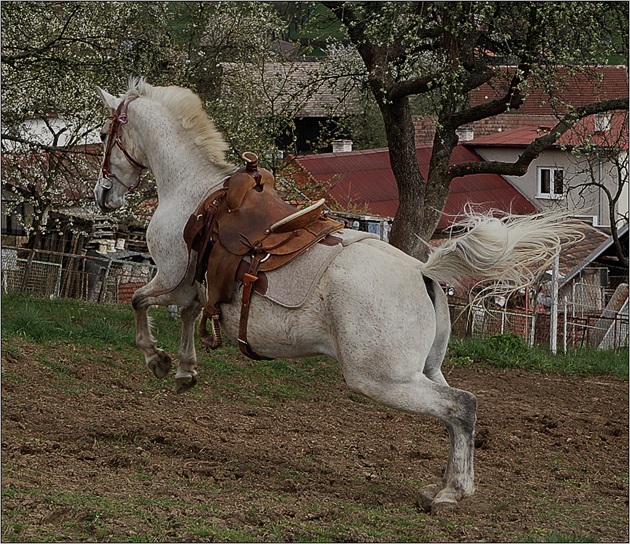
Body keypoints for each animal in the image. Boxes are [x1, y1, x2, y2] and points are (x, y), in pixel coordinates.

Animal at [94, 78, 584, 512]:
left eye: (103, 134)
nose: (103, 195)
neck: (194, 191)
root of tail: (423, 271)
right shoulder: (192, 288)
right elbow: (187, 317)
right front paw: (184, 370)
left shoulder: (171, 277)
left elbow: (139, 303)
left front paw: (158, 360)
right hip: (423, 370)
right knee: (454, 414)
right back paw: (443, 485)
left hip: (382, 379)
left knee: (460, 406)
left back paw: (452, 493)